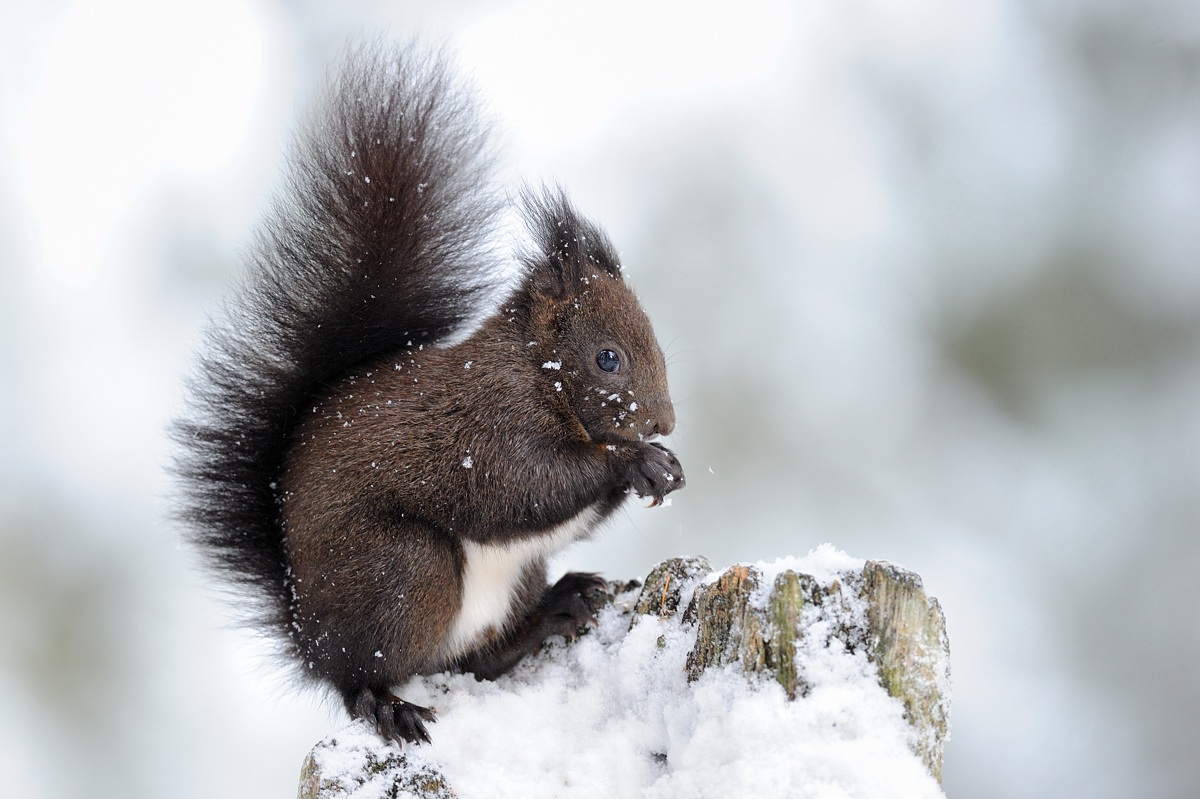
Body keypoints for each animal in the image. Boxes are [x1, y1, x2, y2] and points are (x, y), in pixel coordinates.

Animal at [173, 43, 684, 746]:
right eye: (608, 357)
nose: (664, 423)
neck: (534, 372)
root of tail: (309, 635)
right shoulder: (484, 429)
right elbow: (522, 487)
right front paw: (634, 463)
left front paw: (663, 467)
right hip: (406, 572)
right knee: (363, 677)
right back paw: (389, 706)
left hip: (508, 578)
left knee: (476, 660)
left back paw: (559, 606)